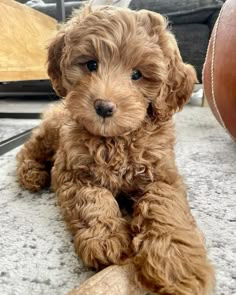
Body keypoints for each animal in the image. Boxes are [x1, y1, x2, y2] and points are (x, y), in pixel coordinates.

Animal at [16, 5, 215, 295]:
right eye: (91, 64)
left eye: (137, 74)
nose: (103, 107)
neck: (115, 140)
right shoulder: (73, 171)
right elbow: (93, 199)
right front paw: (105, 238)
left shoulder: (162, 173)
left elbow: (165, 204)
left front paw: (175, 262)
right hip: (52, 130)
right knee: (29, 148)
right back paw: (31, 174)